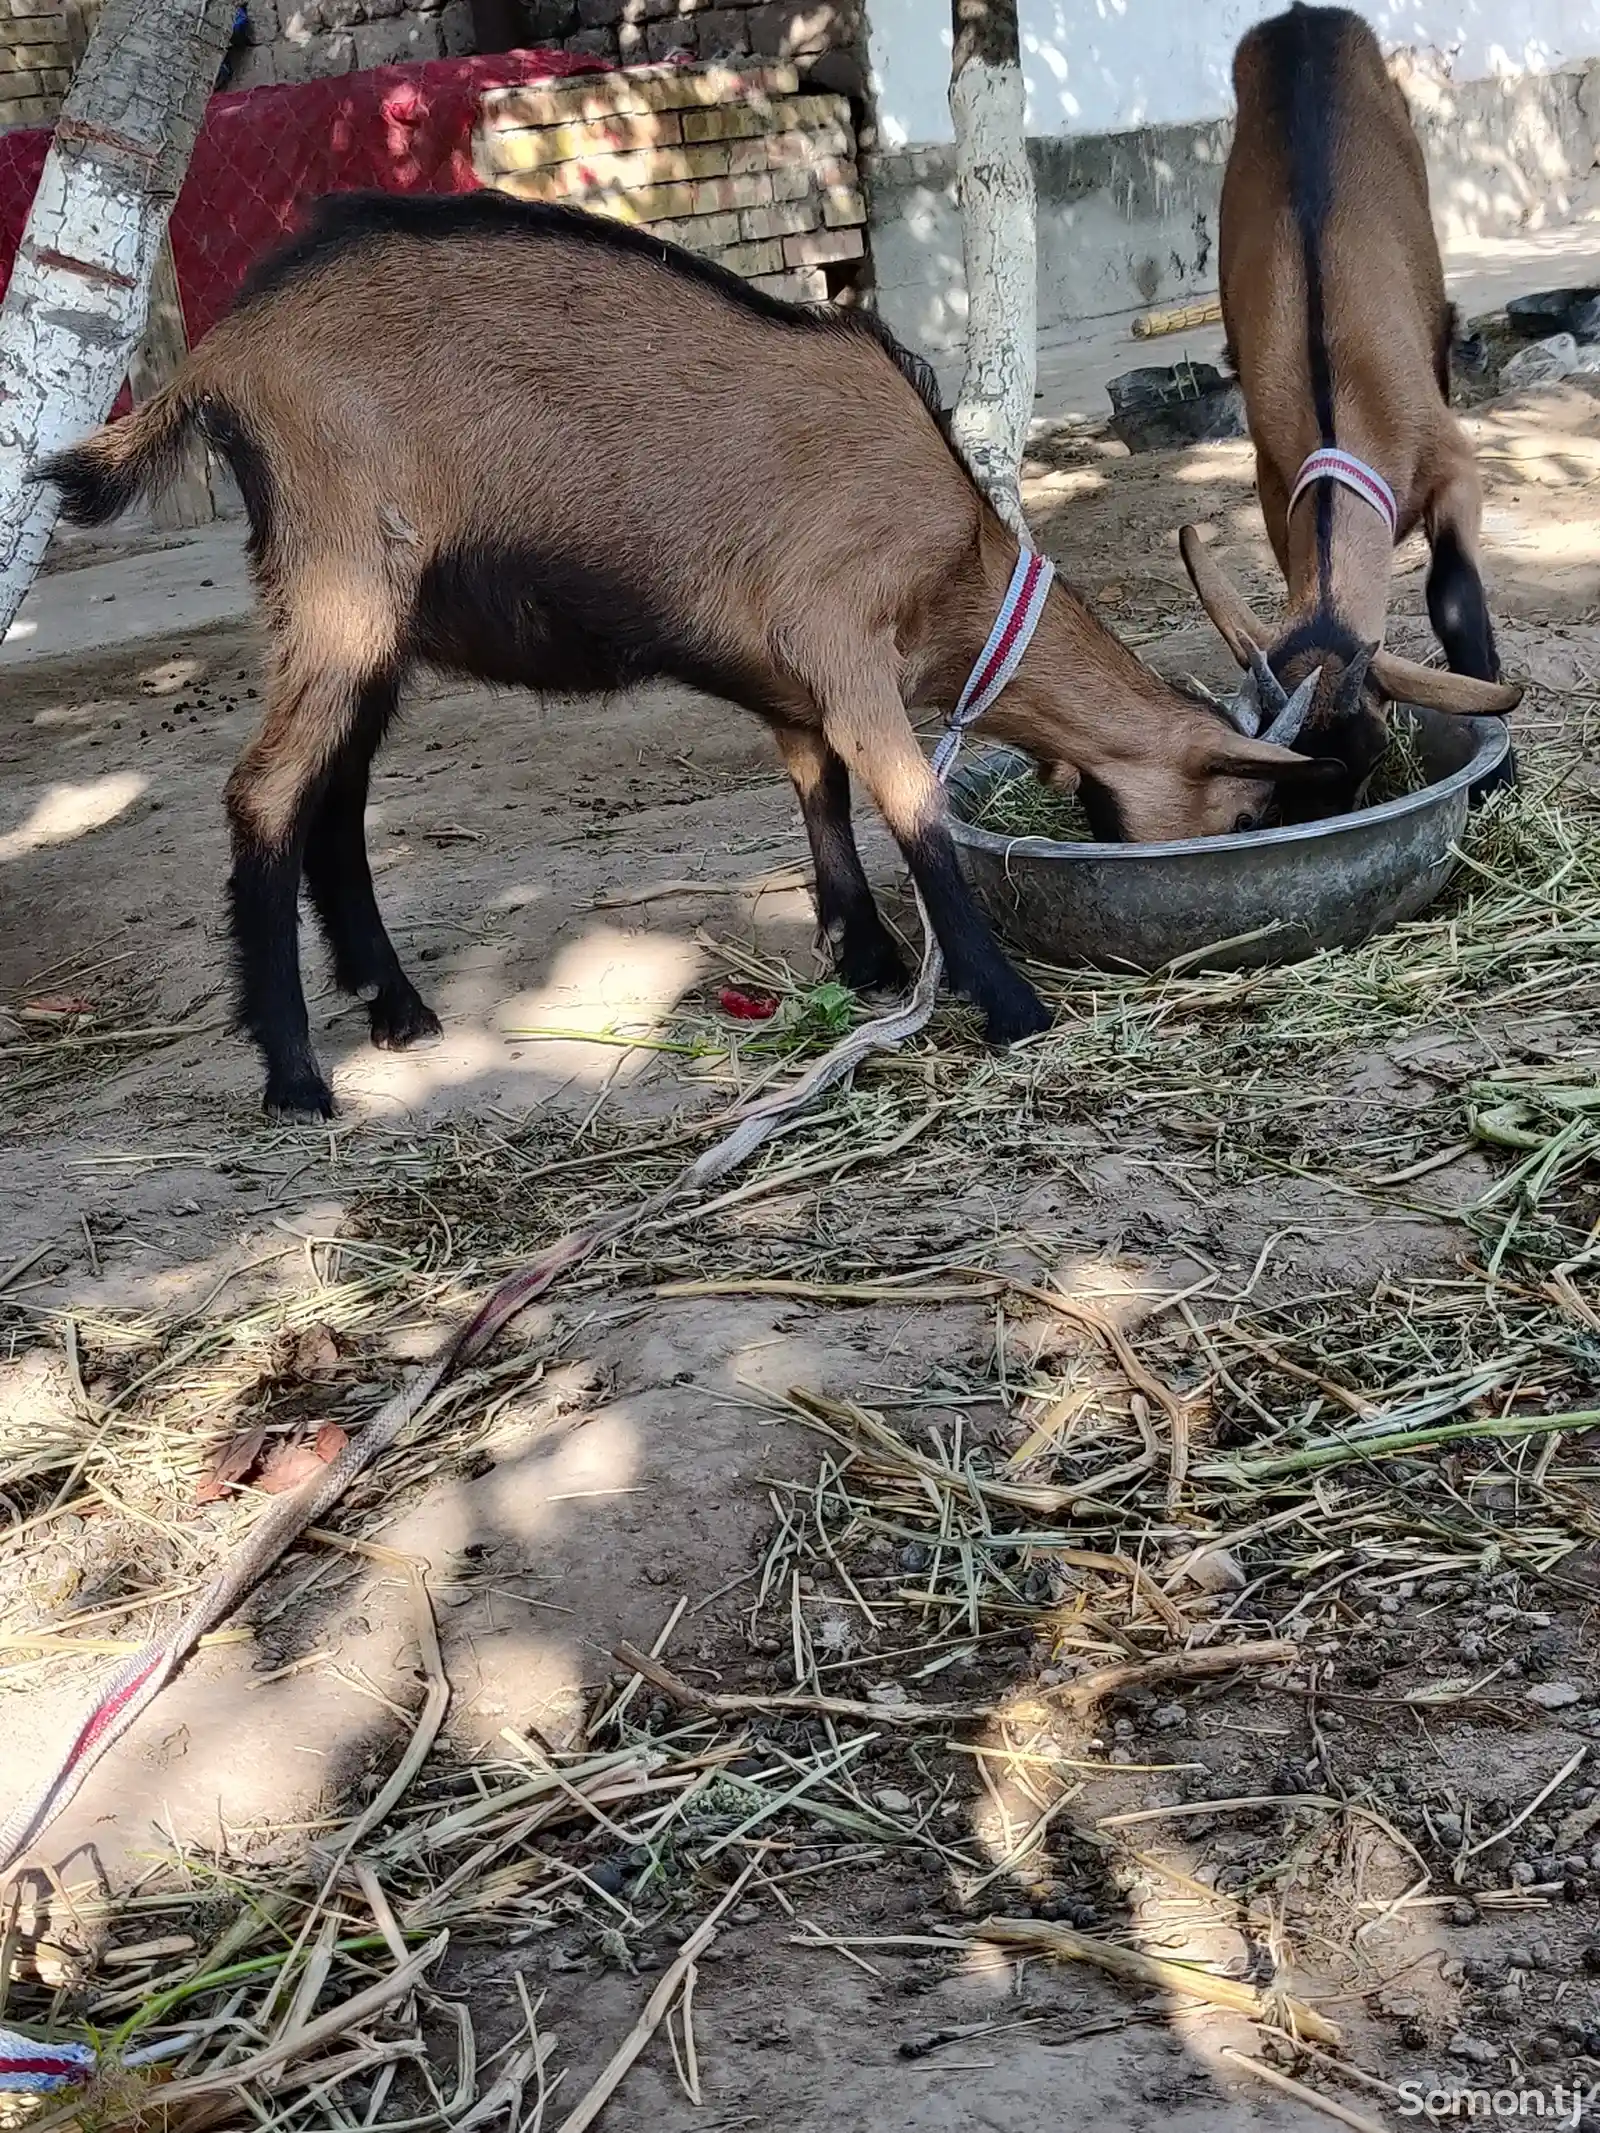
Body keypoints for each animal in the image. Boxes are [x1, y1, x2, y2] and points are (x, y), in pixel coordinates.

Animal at [40, 191, 1339, 1117]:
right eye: (1241, 812)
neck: (959, 553)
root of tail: (224, 357)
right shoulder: (845, 642)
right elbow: (910, 808)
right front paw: (1011, 1004)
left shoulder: (795, 684)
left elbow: (819, 793)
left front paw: (865, 955)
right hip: (343, 578)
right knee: (268, 792)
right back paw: (296, 1076)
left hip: (368, 617)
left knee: (336, 795)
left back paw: (398, 1008)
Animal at [1186, 0, 1518, 802]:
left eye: (1368, 752)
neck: (1342, 401)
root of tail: (1304, 16)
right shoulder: (1275, 483)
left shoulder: (1452, 459)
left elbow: (1454, 596)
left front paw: (1499, 770)